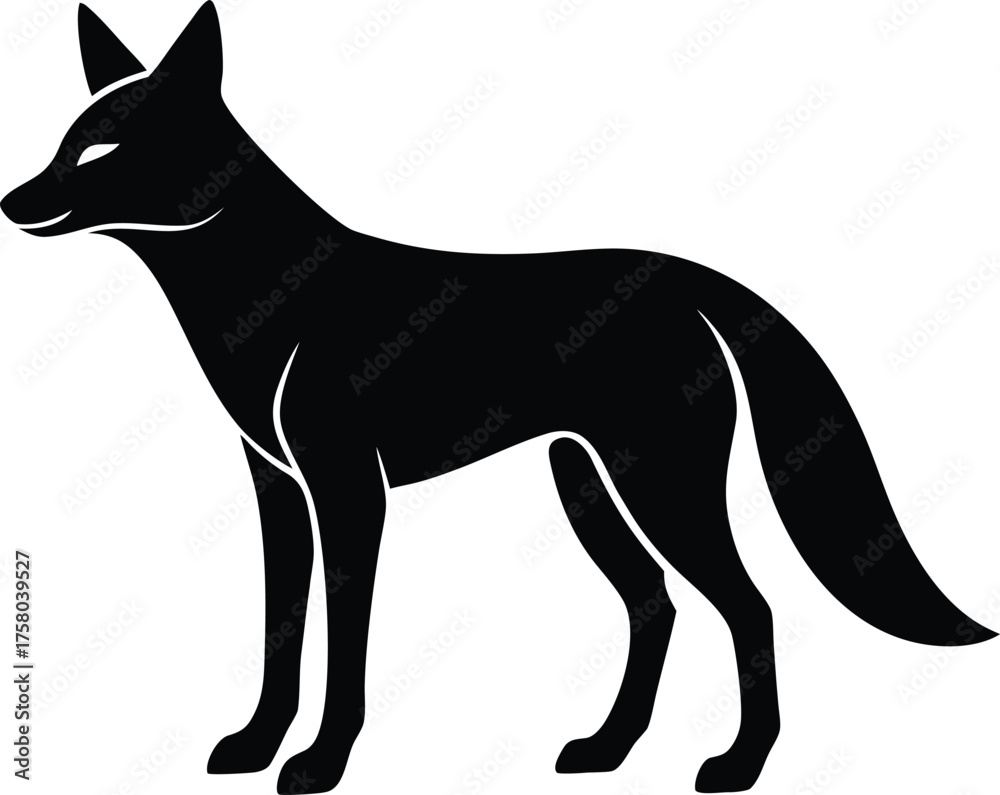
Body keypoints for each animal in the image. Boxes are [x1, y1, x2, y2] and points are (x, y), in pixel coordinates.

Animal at [2, 3, 993, 793]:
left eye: (102, 146)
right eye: (62, 140)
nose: (12, 200)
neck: (265, 287)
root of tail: (687, 279)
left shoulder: (347, 491)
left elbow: (343, 641)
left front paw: (321, 764)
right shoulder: (276, 487)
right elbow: (281, 631)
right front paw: (253, 746)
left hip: (658, 483)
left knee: (748, 606)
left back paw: (738, 765)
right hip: (587, 482)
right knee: (655, 604)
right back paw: (607, 749)